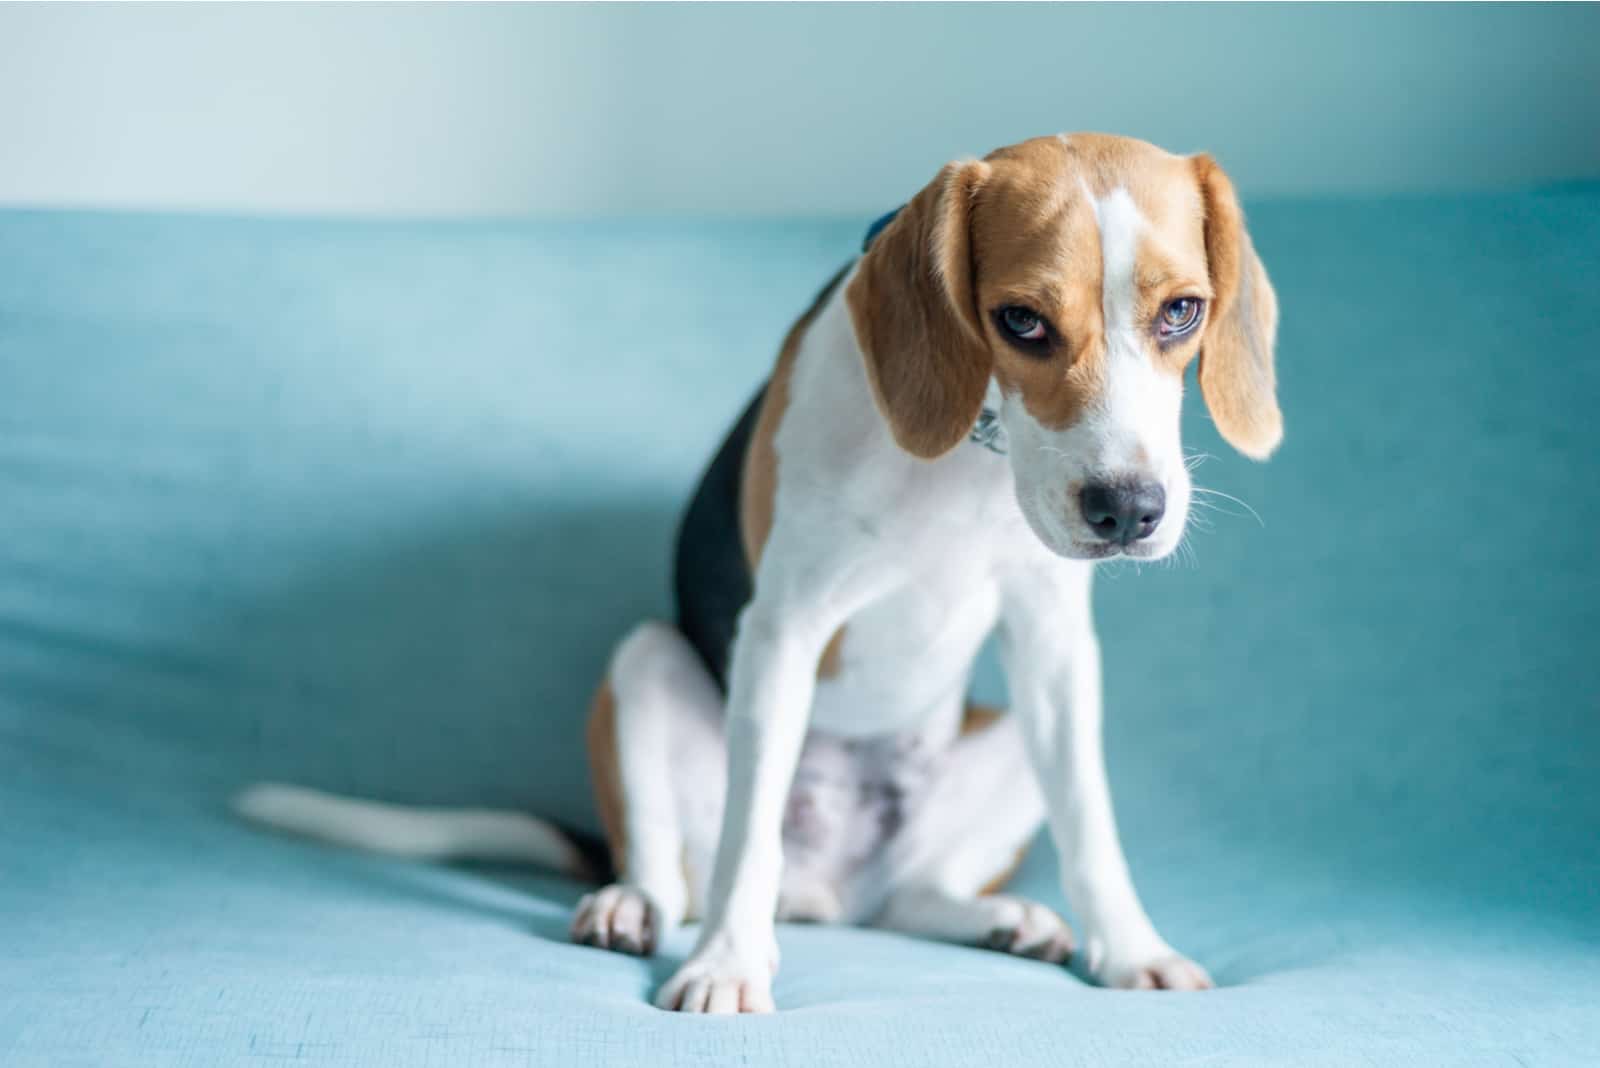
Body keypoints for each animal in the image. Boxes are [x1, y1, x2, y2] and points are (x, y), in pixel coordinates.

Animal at [236, 133, 1280, 1016]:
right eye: (1020, 320)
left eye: (1182, 312)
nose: (1129, 511)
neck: (969, 452)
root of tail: (824, 890)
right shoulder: (784, 629)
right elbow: (748, 836)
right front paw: (728, 968)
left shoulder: (1054, 644)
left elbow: (1090, 824)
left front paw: (1131, 948)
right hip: (644, 662)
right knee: (678, 869)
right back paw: (632, 907)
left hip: (1004, 741)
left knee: (902, 899)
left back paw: (996, 917)